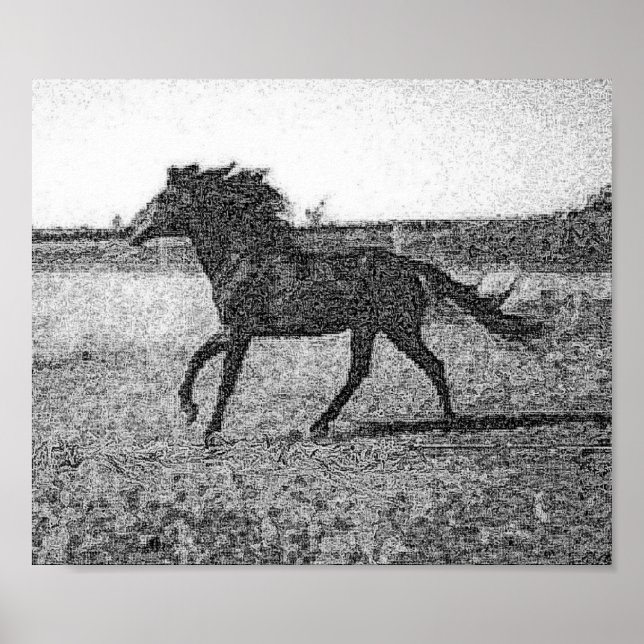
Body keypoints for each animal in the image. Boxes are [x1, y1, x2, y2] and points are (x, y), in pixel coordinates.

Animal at [129, 163, 543, 446]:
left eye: (162, 199)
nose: (131, 232)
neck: (243, 257)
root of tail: (409, 264)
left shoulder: (241, 330)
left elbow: (225, 380)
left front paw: (209, 432)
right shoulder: (230, 328)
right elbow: (196, 358)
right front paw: (189, 412)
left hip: (398, 328)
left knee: (431, 364)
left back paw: (447, 422)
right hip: (369, 328)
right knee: (361, 372)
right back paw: (320, 424)